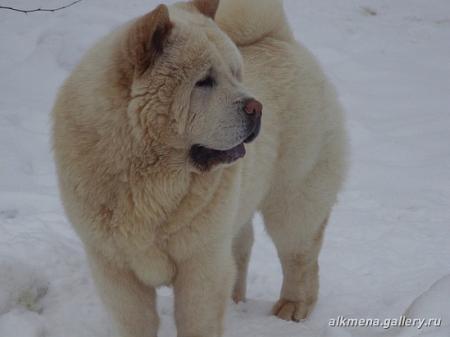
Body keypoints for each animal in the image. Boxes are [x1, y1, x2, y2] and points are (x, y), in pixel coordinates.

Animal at [53, 0, 348, 336]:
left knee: (299, 252)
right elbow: (134, 320)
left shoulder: (200, 262)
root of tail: (278, 37)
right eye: (204, 81)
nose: (256, 107)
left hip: (294, 194)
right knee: (243, 243)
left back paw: (292, 308)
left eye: (235, 74)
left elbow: (197, 319)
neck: (147, 176)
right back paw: (236, 299)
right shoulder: (113, 265)